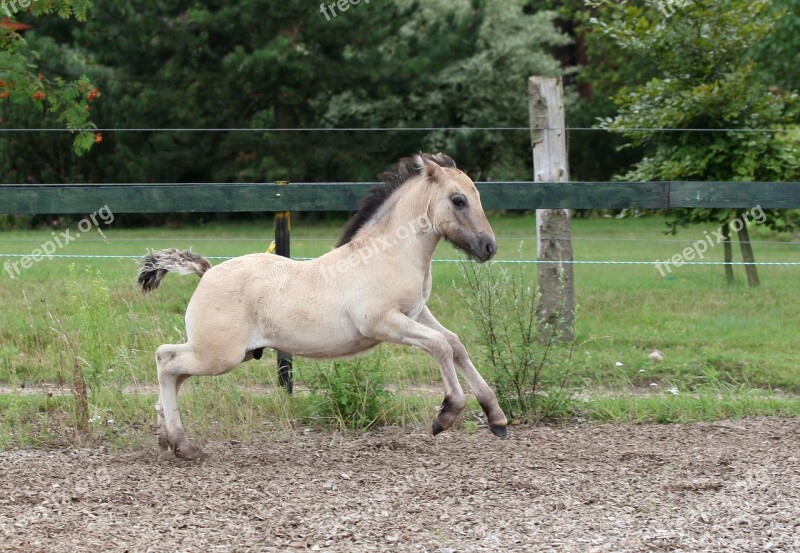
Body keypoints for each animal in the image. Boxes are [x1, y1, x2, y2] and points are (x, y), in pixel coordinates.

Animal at [139, 152, 506, 458]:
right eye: (458, 200)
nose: (489, 247)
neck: (388, 255)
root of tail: (207, 272)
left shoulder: (417, 313)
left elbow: (454, 344)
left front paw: (496, 418)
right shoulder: (383, 322)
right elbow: (440, 346)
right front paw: (445, 415)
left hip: (225, 353)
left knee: (170, 366)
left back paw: (168, 438)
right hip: (219, 355)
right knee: (166, 362)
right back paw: (183, 445)